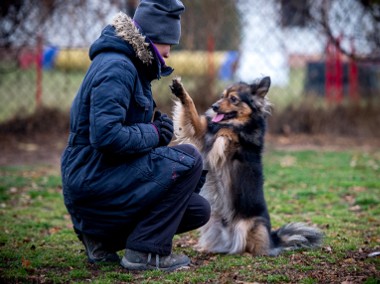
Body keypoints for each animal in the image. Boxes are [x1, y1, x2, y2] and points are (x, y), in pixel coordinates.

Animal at [171, 76, 322, 256]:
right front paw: (180, 90)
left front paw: (220, 139)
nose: (214, 106)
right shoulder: (201, 130)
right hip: (212, 224)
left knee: (250, 247)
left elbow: (227, 133)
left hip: (249, 225)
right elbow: (192, 109)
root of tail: (273, 240)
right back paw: (207, 249)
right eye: (222, 96)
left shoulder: (235, 142)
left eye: (233, 99)